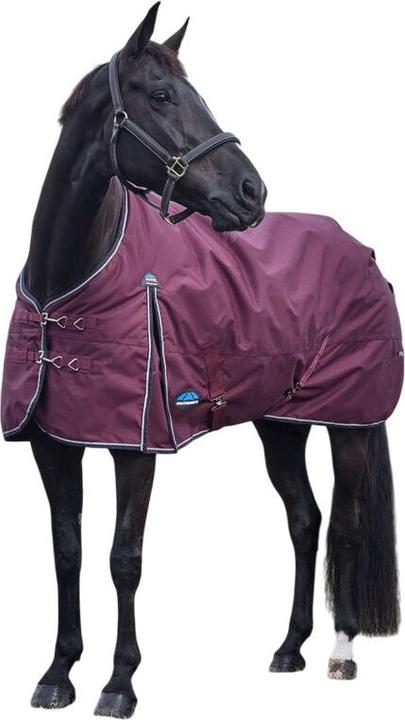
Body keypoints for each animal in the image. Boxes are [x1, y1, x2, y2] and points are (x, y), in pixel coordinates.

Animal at [1, 3, 401, 717]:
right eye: (160, 96)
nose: (252, 191)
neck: (66, 285)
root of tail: (364, 253)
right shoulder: (53, 443)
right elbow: (67, 552)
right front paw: (57, 674)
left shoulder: (136, 447)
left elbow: (123, 559)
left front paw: (119, 683)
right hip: (280, 426)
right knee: (305, 520)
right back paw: (289, 648)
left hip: (350, 427)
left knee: (346, 527)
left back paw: (341, 653)